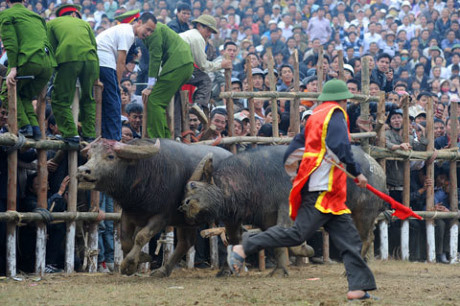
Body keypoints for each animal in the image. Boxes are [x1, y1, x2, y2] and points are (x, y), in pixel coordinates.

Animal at [77, 139, 234, 278]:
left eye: (110, 156)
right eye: (89, 155)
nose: (82, 171)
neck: (147, 172)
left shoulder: (162, 217)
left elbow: (141, 237)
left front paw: (128, 265)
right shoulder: (128, 213)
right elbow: (126, 240)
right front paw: (142, 257)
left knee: (227, 238)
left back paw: (226, 270)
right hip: (186, 221)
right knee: (186, 242)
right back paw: (163, 271)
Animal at [181, 145, 386, 274]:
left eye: (193, 186)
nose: (183, 206)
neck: (251, 176)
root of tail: (376, 167)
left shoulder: (285, 210)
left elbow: (288, 238)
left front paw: (305, 251)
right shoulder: (255, 217)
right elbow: (268, 240)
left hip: (364, 213)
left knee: (365, 238)